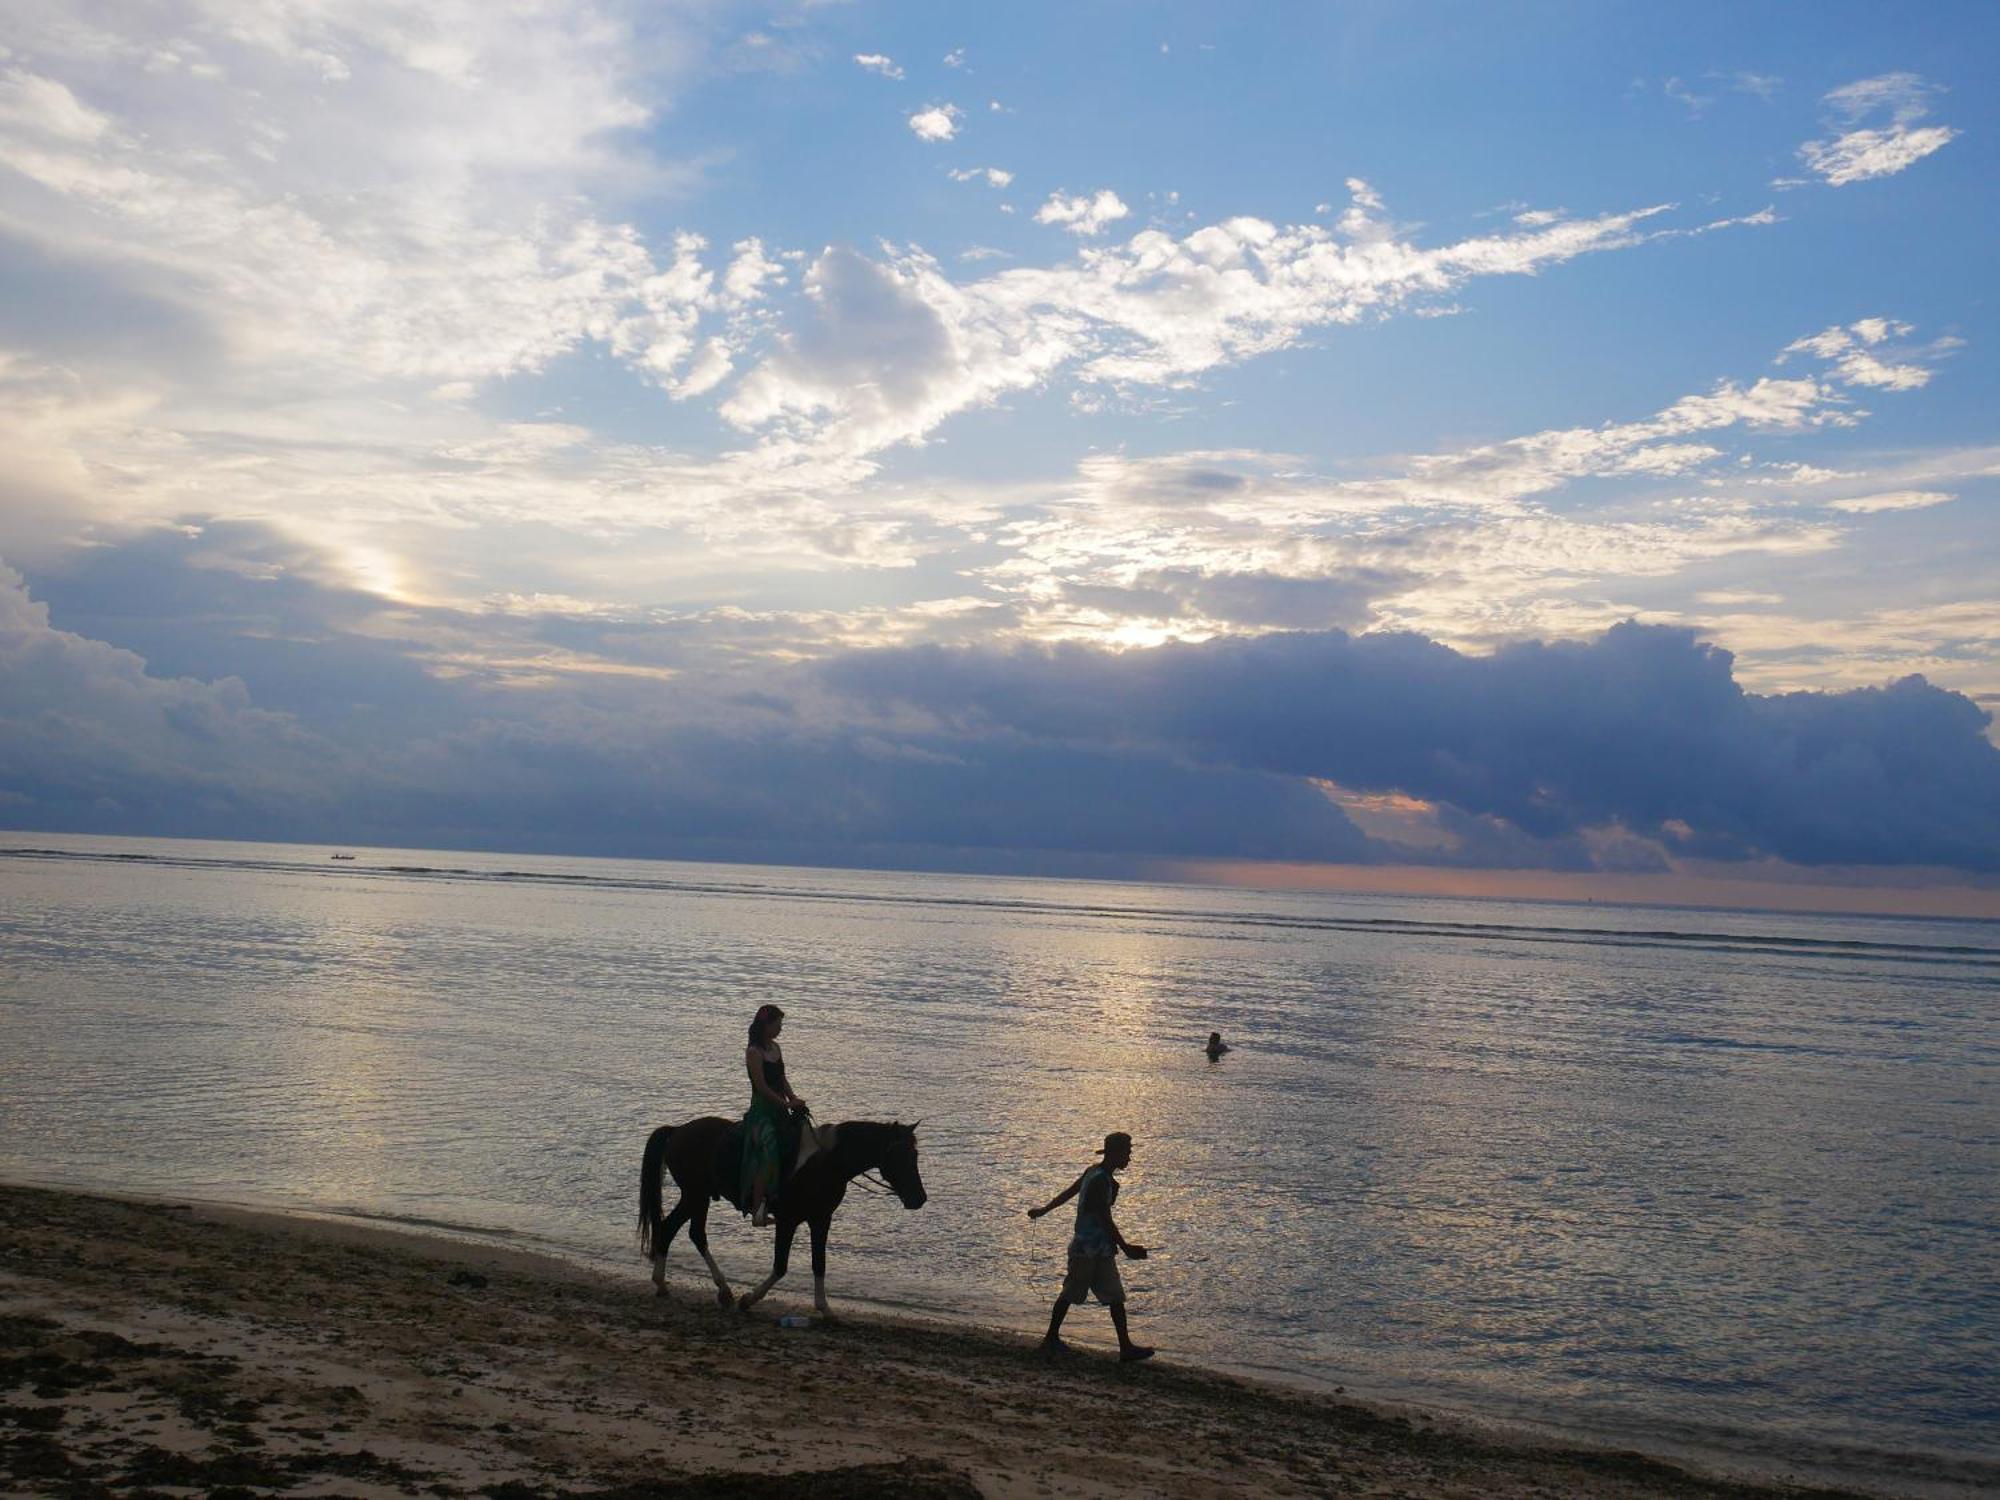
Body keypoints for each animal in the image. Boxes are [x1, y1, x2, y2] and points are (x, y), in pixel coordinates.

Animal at [636, 1120, 924, 1312]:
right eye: (900, 1155)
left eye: (915, 1154)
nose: (919, 1198)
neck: (825, 1164)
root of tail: (677, 1130)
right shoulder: (788, 1220)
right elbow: (780, 1265)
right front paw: (749, 1299)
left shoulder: (821, 1220)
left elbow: (819, 1263)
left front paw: (824, 1307)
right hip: (696, 1195)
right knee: (686, 1231)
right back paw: (716, 1289)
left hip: (697, 1196)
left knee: (677, 1229)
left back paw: (675, 1285)